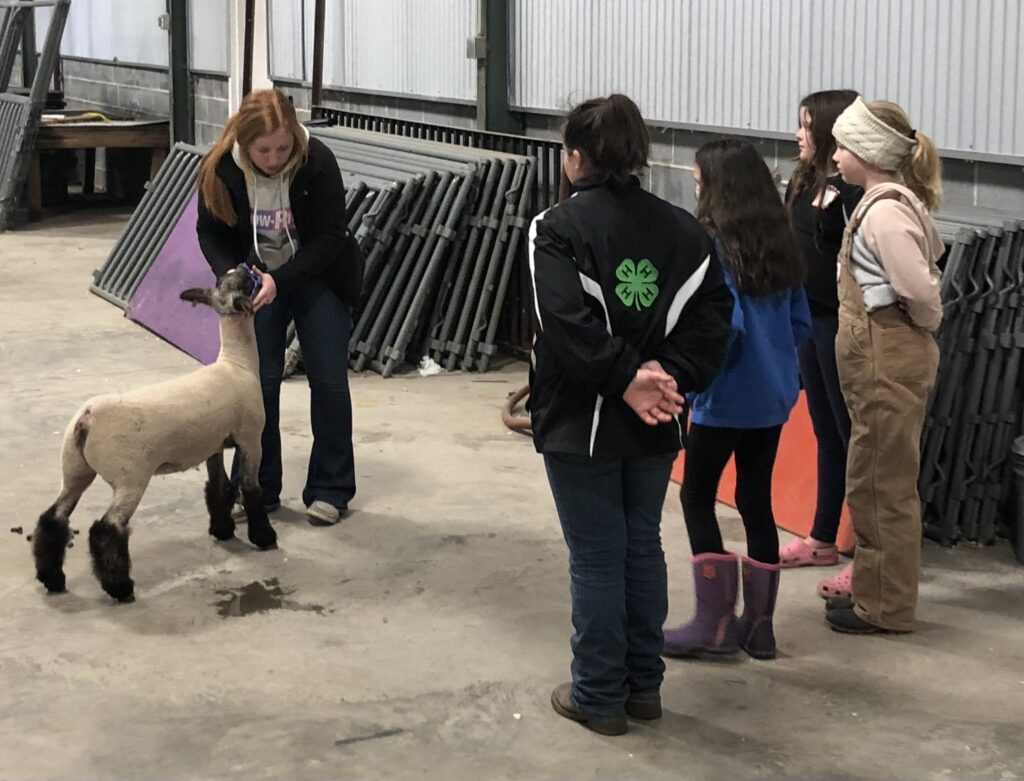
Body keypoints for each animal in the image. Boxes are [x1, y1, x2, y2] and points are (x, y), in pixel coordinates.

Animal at [32, 268, 276, 605]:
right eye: (240, 283)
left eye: (229, 278)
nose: (246, 267)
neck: (236, 363)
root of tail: (87, 420)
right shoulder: (251, 438)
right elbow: (251, 489)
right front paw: (264, 537)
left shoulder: (213, 444)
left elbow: (219, 488)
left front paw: (223, 530)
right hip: (130, 476)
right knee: (107, 529)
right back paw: (120, 587)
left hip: (74, 468)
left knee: (53, 518)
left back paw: (52, 578)